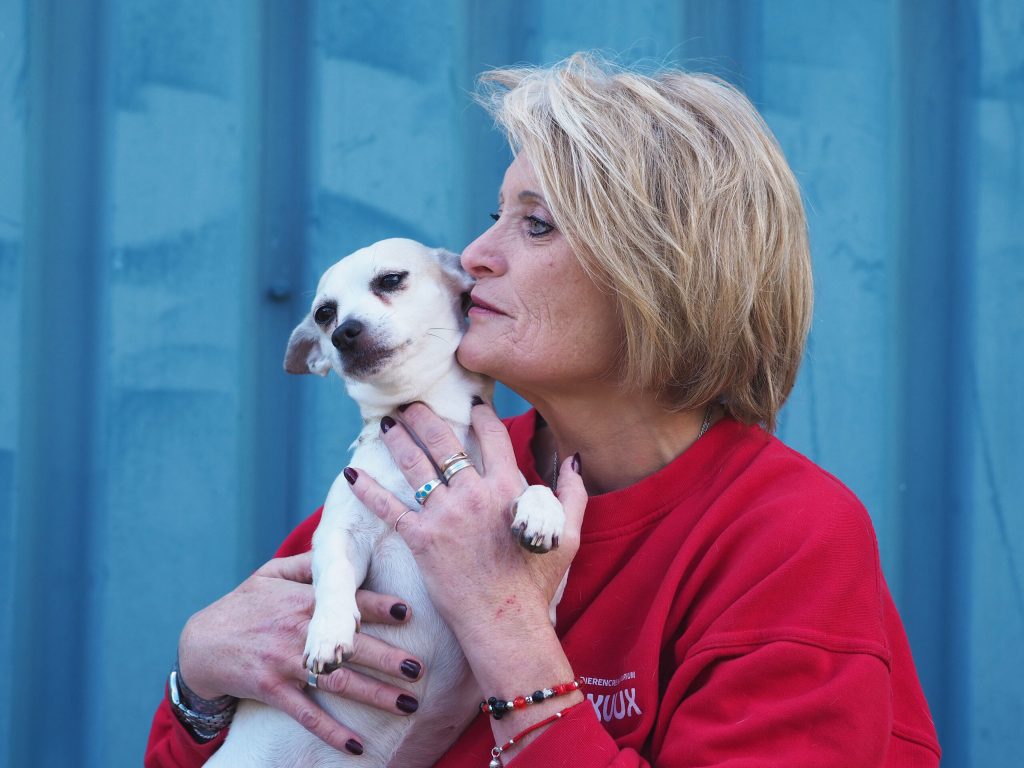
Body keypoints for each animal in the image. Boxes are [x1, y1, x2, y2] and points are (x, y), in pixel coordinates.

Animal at [204, 237, 565, 765]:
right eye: (324, 313)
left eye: (391, 280)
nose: (343, 333)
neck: (421, 420)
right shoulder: (342, 532)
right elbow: (334, 573)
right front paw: (328, 630)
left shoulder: (550, 602)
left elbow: (536, 489)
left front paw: (543, 513)